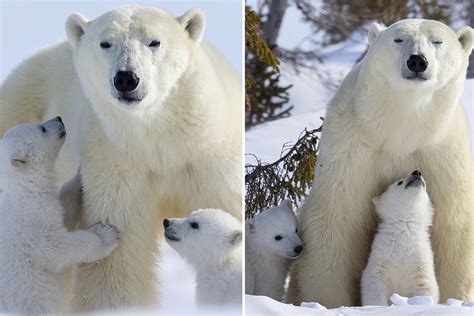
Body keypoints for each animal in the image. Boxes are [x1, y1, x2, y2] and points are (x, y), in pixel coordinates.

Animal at [0, 4, 241, 312]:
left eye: (154, 41)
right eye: (106, 43)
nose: (126, 78)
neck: (162, 140)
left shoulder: (211, 160)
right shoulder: (117, 160)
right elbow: (118, 259)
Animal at [286, 18, 472, 308]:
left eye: (437, 41)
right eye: (399, 39)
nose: (417, 61)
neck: (401, 126)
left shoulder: (442, 151)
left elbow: (454, 224)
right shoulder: (353, 146)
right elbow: (337, 218)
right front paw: (325, 301)